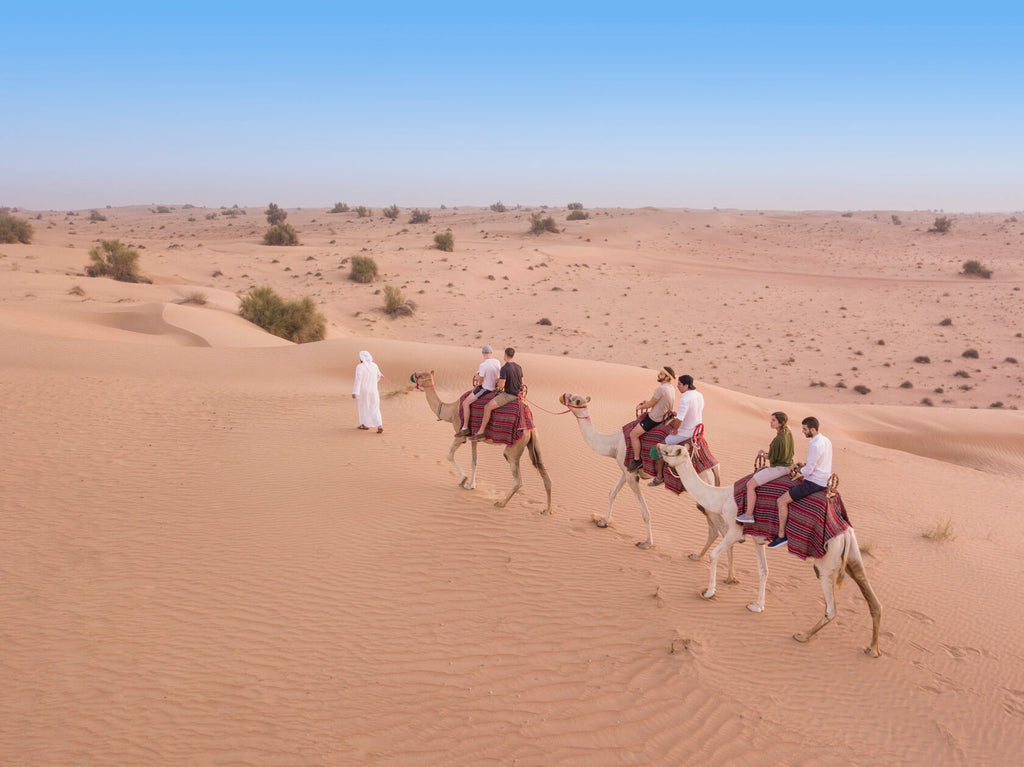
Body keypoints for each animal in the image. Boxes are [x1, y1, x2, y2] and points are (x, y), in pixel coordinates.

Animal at [413, 371, 552, 514]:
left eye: (420, 375)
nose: (413, 375)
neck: (451, 411)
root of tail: (530, 426)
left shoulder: (460, 433)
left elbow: (449, 454)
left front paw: (464, 480)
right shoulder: (474, 438)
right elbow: (474, 461)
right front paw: (471, 485)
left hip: (514, 448)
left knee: (518, 479)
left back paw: (501, 503)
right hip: (534, 443)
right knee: (544, 471)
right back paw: (547, 510)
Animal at [559, 393, 724, 556]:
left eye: (574, 399)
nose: (563, 395)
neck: (614, 444)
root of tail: (713, 465)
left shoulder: (632, 475)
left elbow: (645, 512)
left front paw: (647, 543)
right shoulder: (626, 469)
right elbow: (612, 493)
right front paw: (603, 522)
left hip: (704, 484)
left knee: (719, 525)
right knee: (714, 527)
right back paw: (697, 556)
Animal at [658, 443, 882, 656]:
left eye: (670, 450)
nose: (658, 447)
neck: (723, 498)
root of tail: (844, 531)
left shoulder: (736, 530)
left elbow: (714, 555)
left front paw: (709, 592)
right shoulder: (758, 539)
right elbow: (764, 571)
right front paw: (757, 606)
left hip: (826, 563)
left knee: (831, 608)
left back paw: (802, 635)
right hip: (852, 554)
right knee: (872, 598)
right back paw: (873, 649)